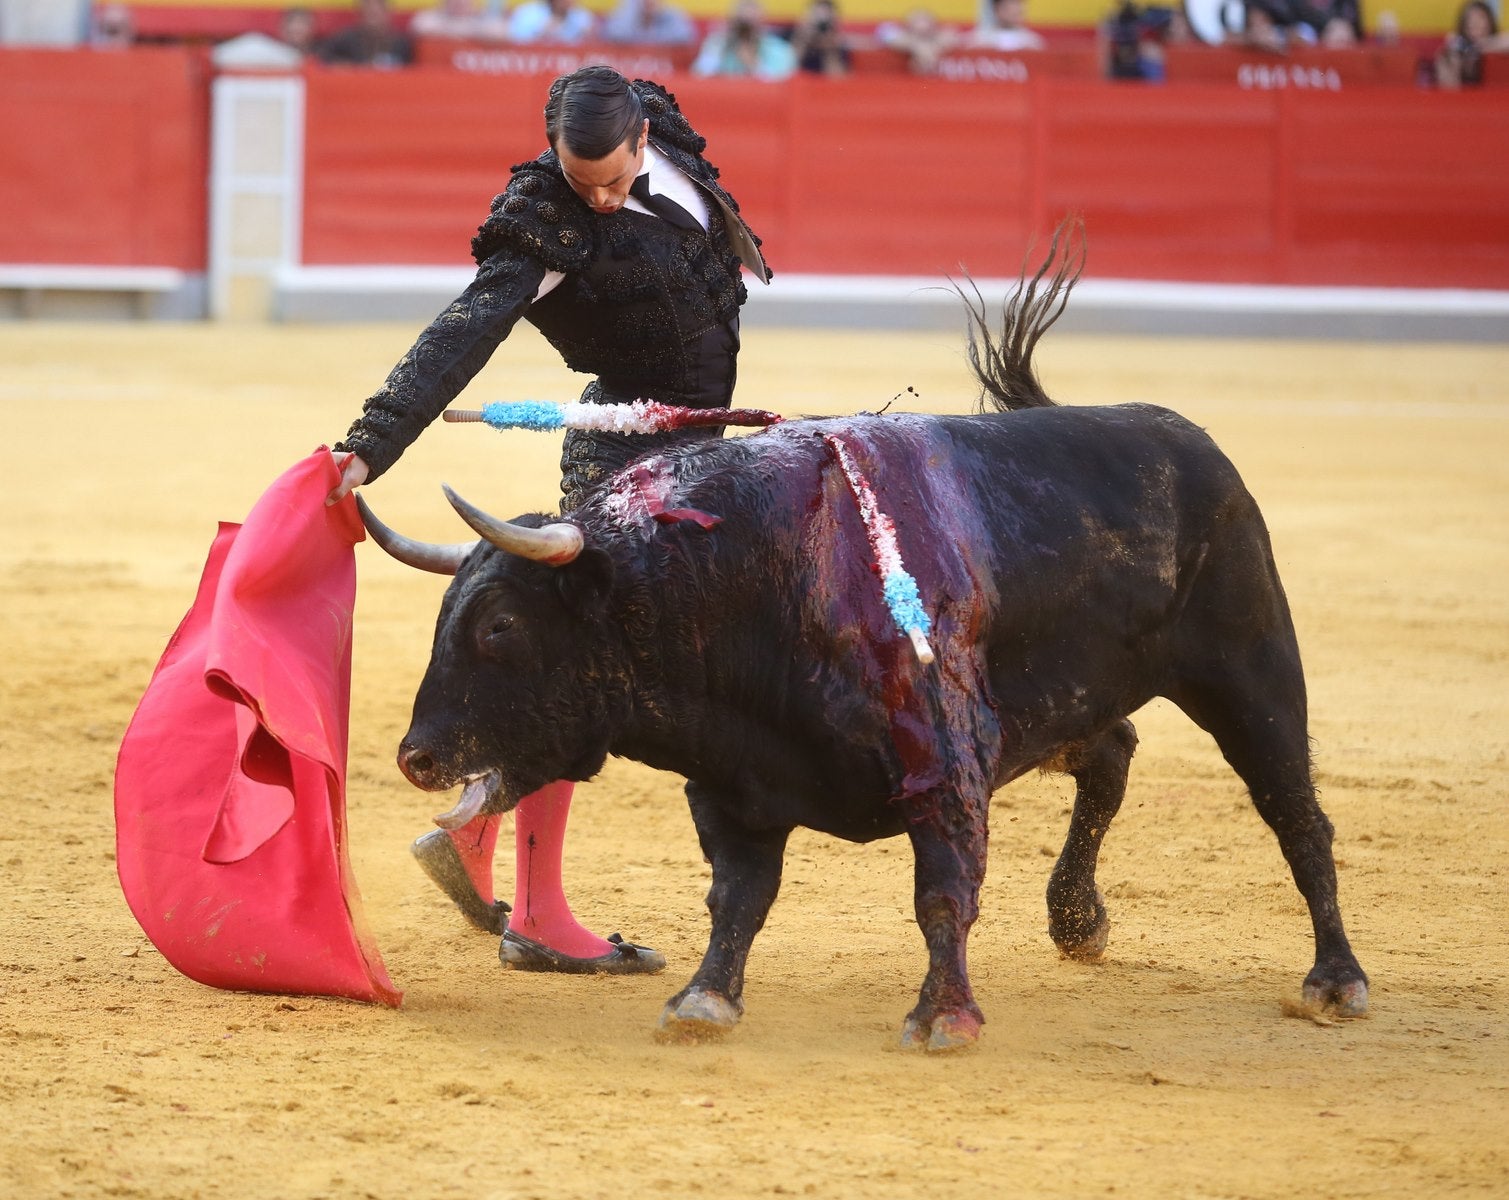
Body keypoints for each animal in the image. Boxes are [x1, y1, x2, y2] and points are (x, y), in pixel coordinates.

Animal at [362, 240, 1370, 1044]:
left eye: (500, 626)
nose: (416, 757)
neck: (737, 577)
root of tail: (1180, 436)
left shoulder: (945, 765)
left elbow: (942, 890)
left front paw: (943, 1018)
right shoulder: (731, 781)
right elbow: (736, 895)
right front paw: (703, 1001)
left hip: (1248, 668)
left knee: (1293, 809)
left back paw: (1335, 980)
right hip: (1066, 696)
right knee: (1111, 753)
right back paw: (1077, 921)